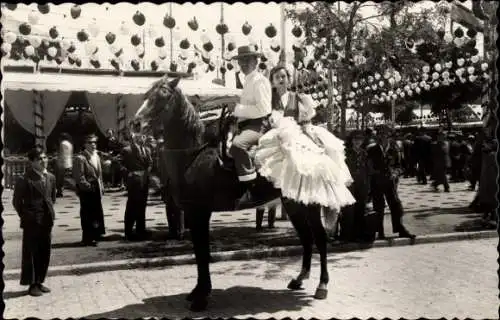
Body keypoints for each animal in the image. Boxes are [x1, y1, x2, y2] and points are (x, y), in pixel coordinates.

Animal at [136, 76, 332, 312]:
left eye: (163, 95)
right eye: (146, 95)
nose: (136, 124)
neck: (194, 154)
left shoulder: (200, 212)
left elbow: (203, 252)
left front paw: (202, 297)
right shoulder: (193, 213)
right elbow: (199, 252)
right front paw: (197, 292)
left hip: (310, 205)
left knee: (320, 238)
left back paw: (322, 286)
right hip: (293, 204)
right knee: (306, 237)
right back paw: (299, 279)